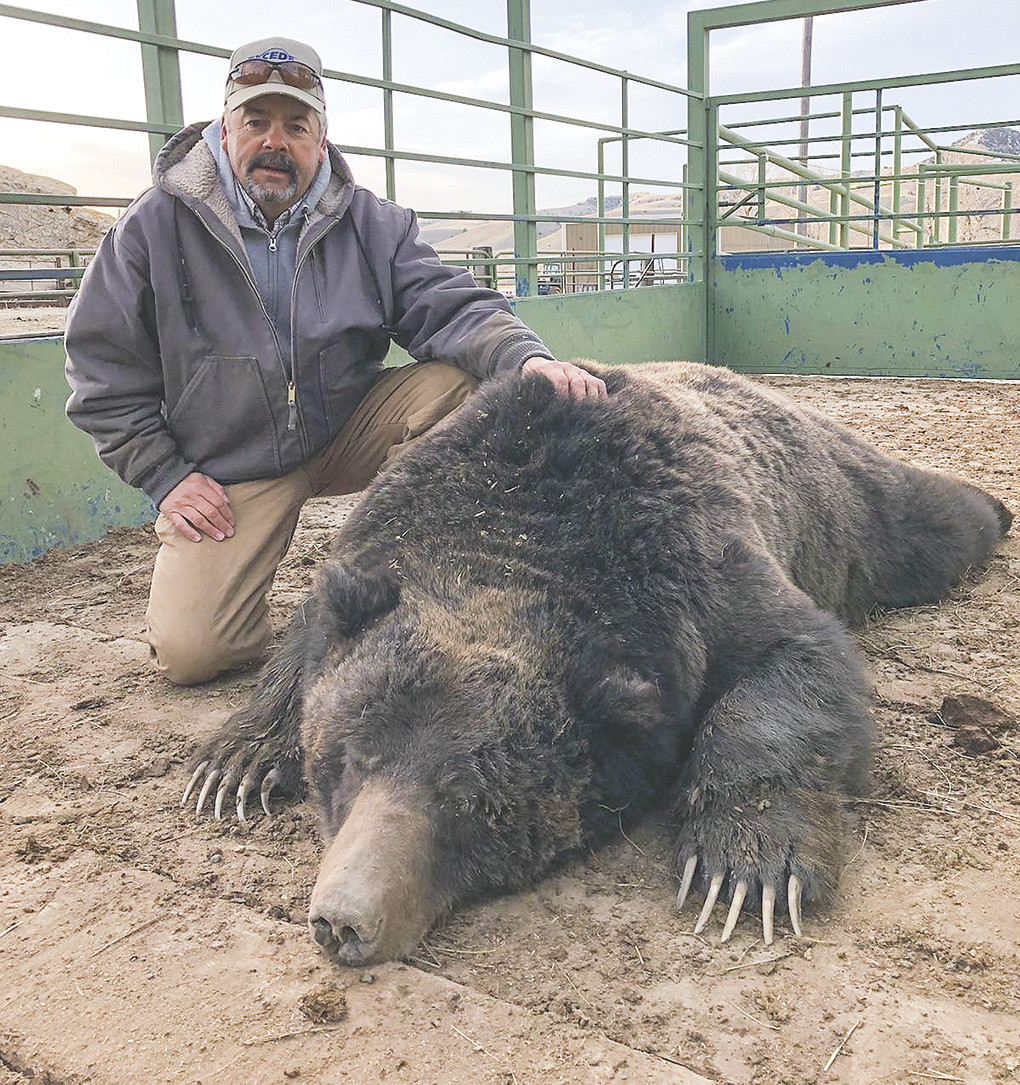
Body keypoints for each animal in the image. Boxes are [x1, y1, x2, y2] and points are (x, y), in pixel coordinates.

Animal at [181, 362, 1002, 967]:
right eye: (349, 761)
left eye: (473, 804)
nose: (344, 919)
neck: (516, 537)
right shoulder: (382, 541)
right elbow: (305, 639)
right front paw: (233, 765)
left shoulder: (702, 573)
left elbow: (796, 660)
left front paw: (744, 868)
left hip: (844, 504)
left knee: (925, 521)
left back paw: (993, 505)